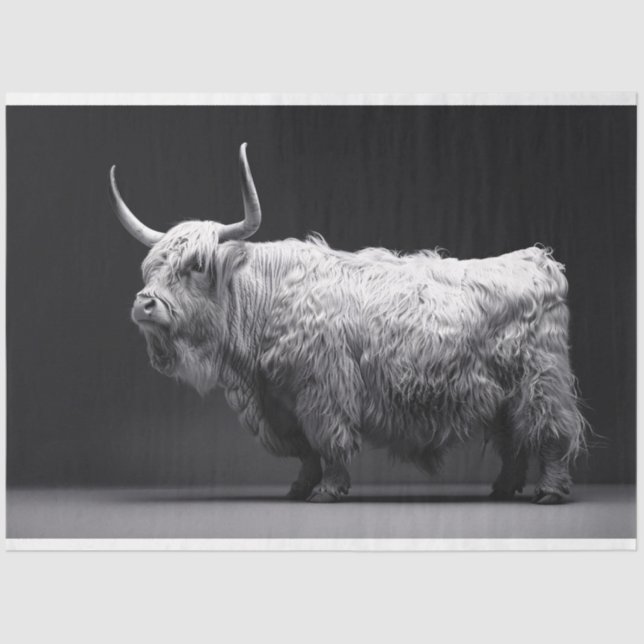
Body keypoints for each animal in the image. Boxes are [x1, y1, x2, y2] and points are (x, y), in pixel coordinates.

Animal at [109, 143, 587, 504]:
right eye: (151, 267)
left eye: (196, 265)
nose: (145, 304)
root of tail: (538, 259)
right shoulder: (280, 401)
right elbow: (305, 450)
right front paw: (300, 487)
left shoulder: (324, 388)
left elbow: (329, 441)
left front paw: (328, 489)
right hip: (501, 392)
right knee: (513, 437)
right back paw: (504, 487)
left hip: (541, 378)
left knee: (552, 429)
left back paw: (549, 491)